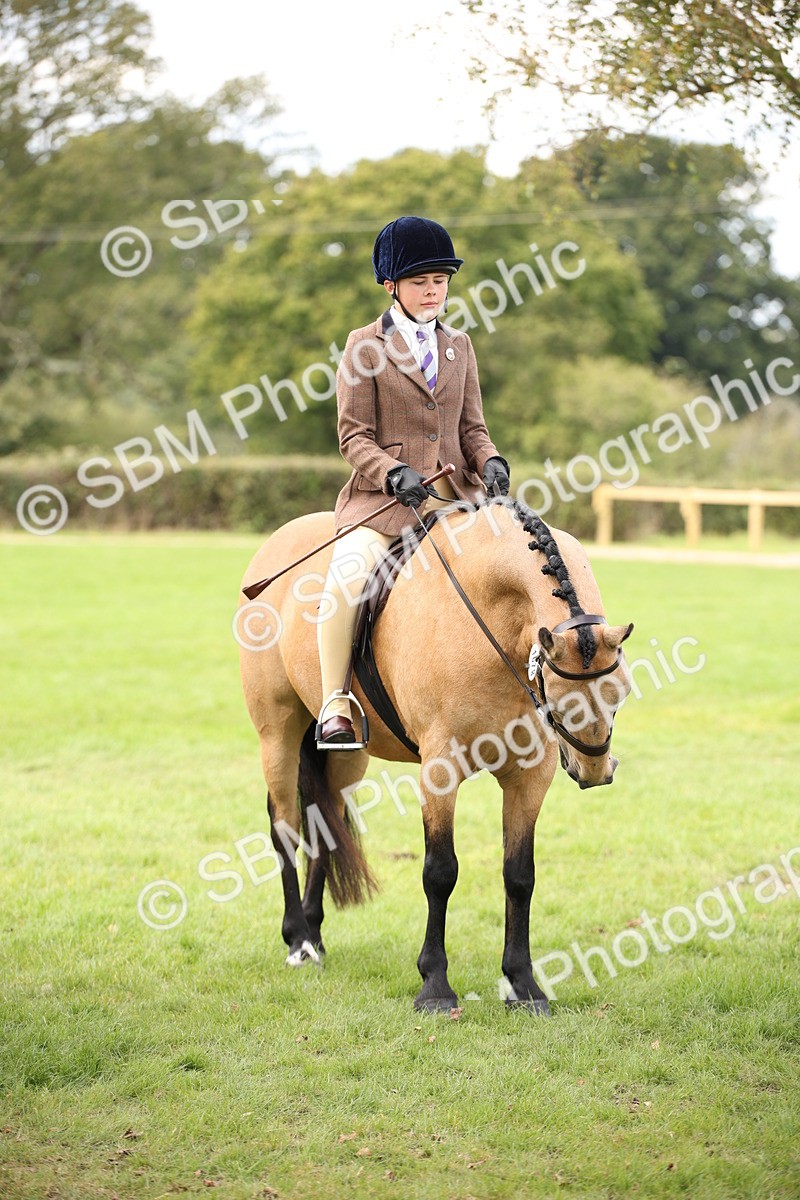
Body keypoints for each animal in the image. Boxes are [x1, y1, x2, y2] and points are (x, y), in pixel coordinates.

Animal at [237, 496, 633, 1014]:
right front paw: (435, 986)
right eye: (561, 699)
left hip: (347, 756)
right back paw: (298, 942)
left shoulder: (530, 775)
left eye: (621, 692)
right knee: (284, 826)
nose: (595, 770)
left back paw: (315, 937)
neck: (491, 614)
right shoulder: (440, 769)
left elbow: (519, 875)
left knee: (325, 823)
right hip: (277, 734)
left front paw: (523, 985)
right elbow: (440, 873)